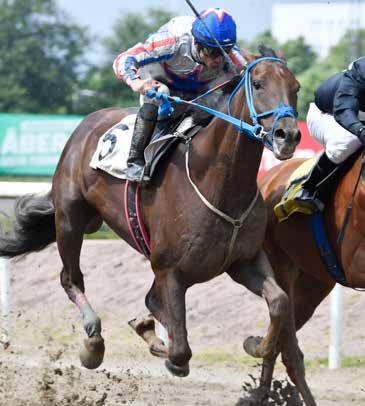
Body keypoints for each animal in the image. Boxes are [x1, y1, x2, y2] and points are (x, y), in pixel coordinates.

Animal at [0, 50, 308, 396]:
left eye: (295, 87)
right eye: (258, 83)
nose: (288, 135)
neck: (219, 182)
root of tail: (88, 123)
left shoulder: (244, 261)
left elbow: (280, 302)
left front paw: (255, 343)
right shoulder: (168, 269)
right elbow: (180, 352)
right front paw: (157, 341)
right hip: (70, 218)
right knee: (70, 278)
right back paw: (93, 341)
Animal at [258, 153, 364, 402]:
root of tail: (266, 179)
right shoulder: (355, 263)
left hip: (313, 284)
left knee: (277, 345)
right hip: (279, 266)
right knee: (287, 351)